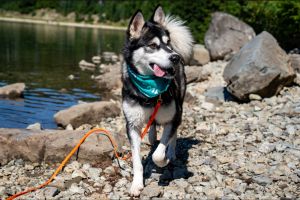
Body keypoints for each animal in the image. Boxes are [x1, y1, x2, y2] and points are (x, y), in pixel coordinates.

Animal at [120, 5, 193, 196]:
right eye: (153, 45)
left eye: (168, 43)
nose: (175, 57)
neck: (149, 92)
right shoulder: (132, 125)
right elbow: (137, 161)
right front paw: (136, 184)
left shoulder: (172, 118)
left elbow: (159, 152)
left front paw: (164, 160)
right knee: (152, 128)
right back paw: (152, 136)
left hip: (179, 107)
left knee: (173, 136)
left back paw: (171, 153)